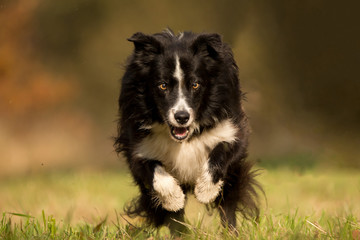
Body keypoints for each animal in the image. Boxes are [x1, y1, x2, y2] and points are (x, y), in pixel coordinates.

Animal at [115, 29, 262, 232]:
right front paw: (173, 199)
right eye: (162, 85)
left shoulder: (232, 125)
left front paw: (205, 191)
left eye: (195, 84)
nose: (182, 117)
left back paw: (230, 232)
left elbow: (223, 149)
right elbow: (152, 168)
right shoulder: (137, 141)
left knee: (229, 200)